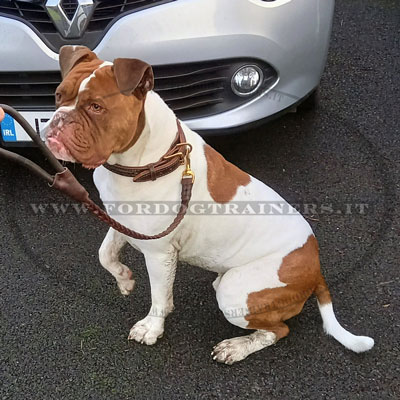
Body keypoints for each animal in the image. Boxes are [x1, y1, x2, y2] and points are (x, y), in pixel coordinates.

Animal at [41, 45, 376, 364]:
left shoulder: (159, 252)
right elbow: (105, 254)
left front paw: (151, 328)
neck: (144, 161)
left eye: (96, 107)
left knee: (277, 330)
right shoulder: (122, 222)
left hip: (236, 293)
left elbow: (158, 296)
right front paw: (124, 279)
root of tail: (315, 267)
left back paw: (236, 348)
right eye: (58, 96)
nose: (59, 120)